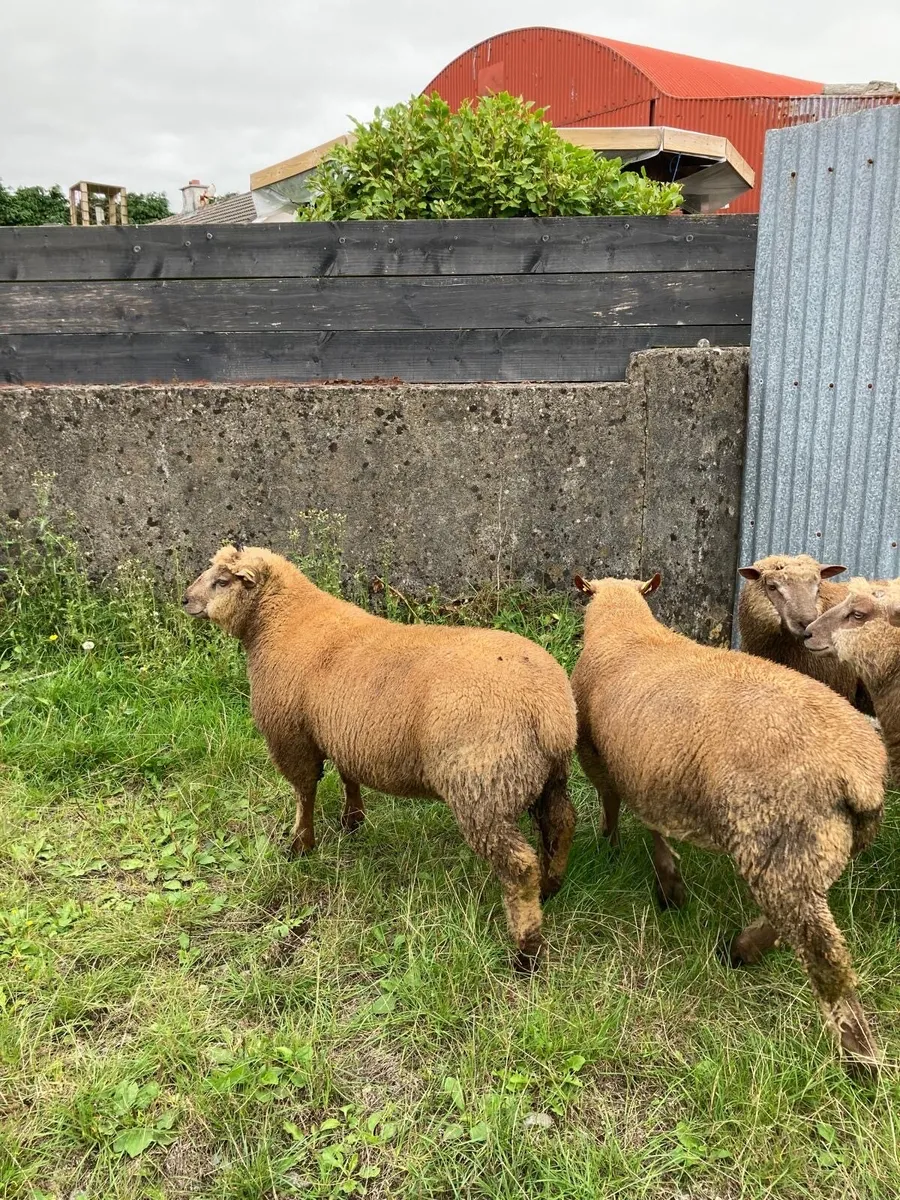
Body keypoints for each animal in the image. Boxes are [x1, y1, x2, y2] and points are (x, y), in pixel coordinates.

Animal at [183, 544, 578, 971]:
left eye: (223, 581)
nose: (185, 600)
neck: (281, 621)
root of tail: (549, 708)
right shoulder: (343, 733)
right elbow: (347, 775)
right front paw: (352, 820)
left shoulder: (290, 737)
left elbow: (304, 792)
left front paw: (300, 845)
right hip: (547, 776)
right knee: (561, 824)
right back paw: (552, 886)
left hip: (482, 788)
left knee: (519, 867)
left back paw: (527, 949)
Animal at [570, 570, 886, 1073]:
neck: (625, 628)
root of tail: (859, 774)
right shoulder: (653, 772)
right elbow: (655, 826)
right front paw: (670, 885)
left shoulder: (600, 757)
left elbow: (613, 805)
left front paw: (612, 849)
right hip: (813, 851)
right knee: (793, 920)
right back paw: (741, 949)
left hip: (780, 843)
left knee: (824, 955)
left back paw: (861, 1058)